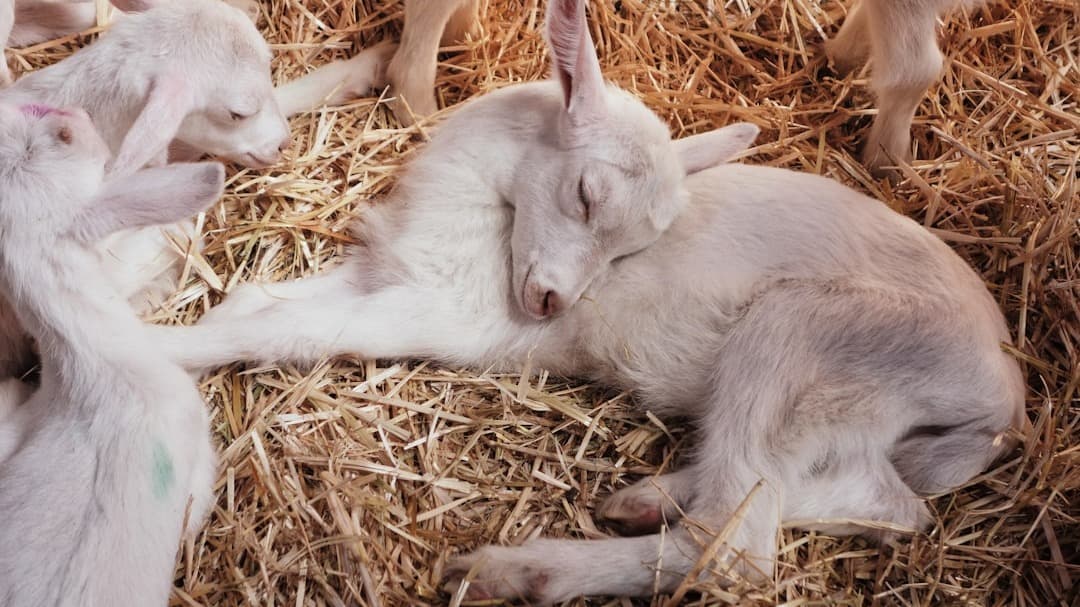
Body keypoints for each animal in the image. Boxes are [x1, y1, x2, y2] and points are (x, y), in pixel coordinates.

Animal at [154, 0, 1026, 602]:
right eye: (586, 193)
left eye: (631, 246)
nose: (547, 303)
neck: (484, 221)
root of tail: (1002, 394)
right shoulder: (386, 269)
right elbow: (261, 300)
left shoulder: (440, 309)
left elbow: (294, 327)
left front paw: (161, 347)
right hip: (847, 414)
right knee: (878, 499)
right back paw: (645, 497)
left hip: (802, 336)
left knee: (738, 549)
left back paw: (522, 568)